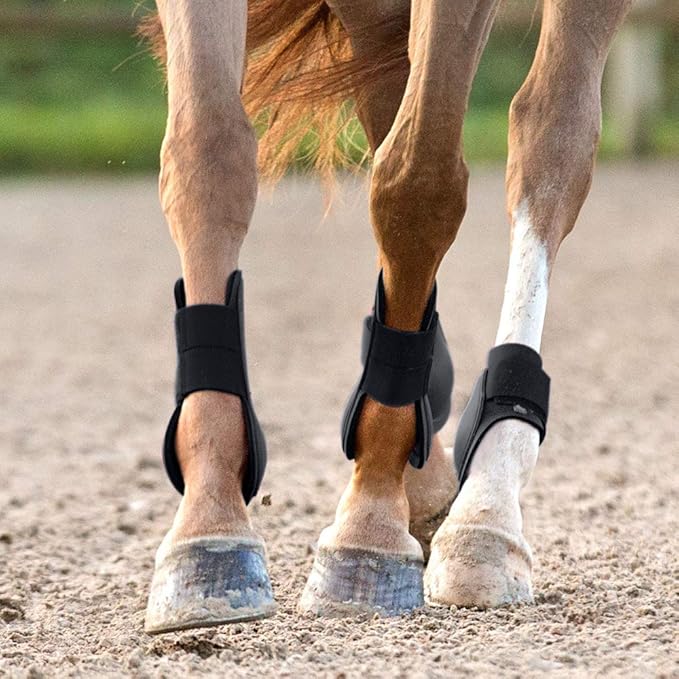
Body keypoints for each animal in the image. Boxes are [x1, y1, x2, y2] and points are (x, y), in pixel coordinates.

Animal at [139, 0, 632, 634]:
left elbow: (417, 183)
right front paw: (208, 530)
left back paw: (486, 514)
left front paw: (368, 528)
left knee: (550, 131)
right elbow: (206, 150)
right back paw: (430, 488)